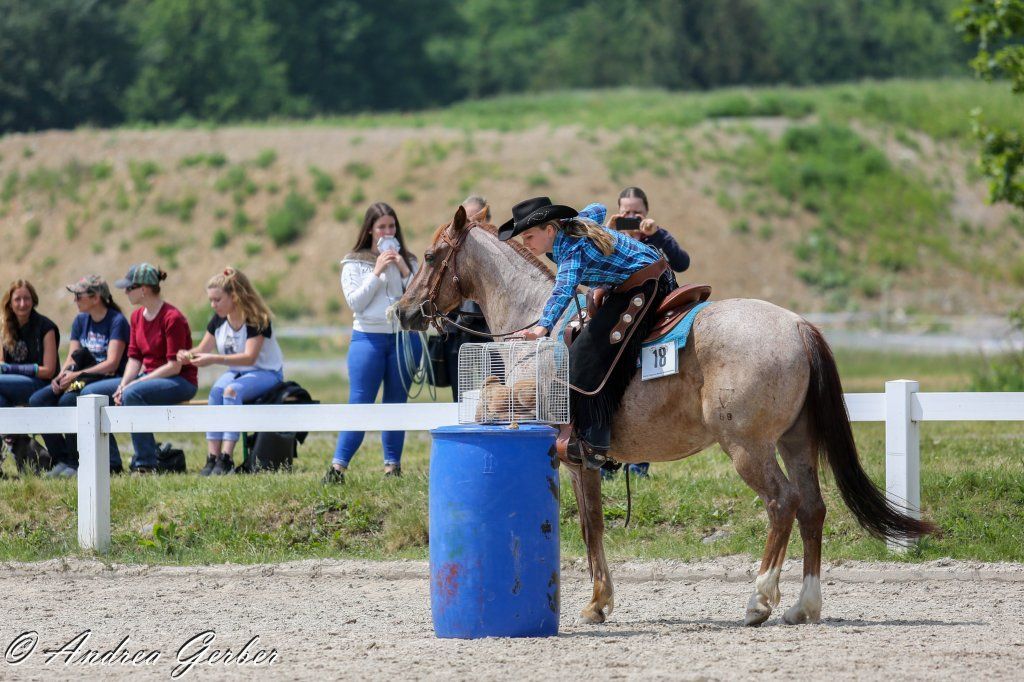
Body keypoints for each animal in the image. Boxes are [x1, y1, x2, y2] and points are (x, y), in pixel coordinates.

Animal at [395, 206, 935, 626]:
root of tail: (798, 325)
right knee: (813, 508)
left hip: (748, 447)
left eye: (429, 256)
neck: (543, 338)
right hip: (795, 440)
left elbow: (497, 409)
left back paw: (759, 600)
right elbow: (593, 523)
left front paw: (596, 603)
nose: (401, 311)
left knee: (782, 503)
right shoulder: (580, 458)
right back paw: (804, 606)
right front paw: (598, 603)